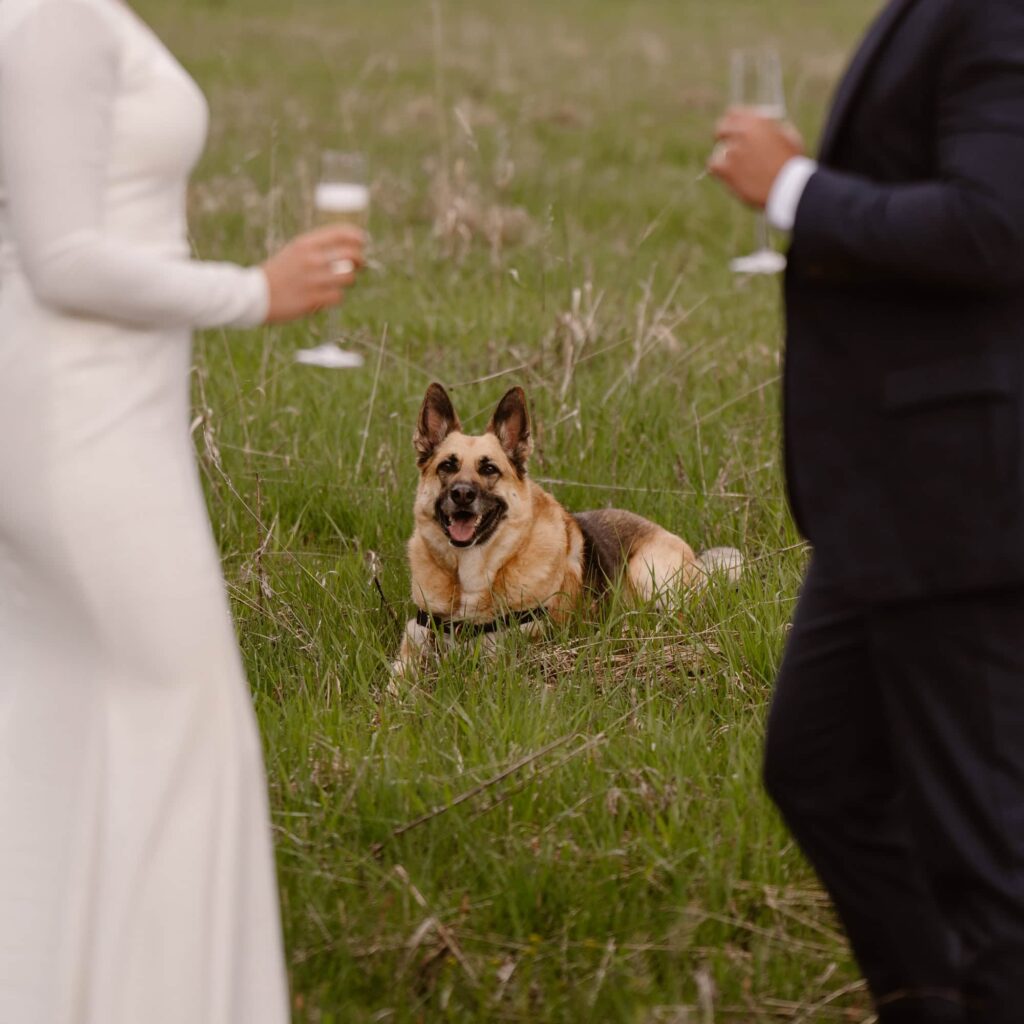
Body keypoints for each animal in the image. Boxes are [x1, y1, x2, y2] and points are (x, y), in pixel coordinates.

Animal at [393, 380, 745, 675]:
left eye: (489, 469)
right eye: (447, 466)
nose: (462, 494)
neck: (472, 573)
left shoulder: (507, 651)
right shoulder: (414, 640)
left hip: (647, 571)